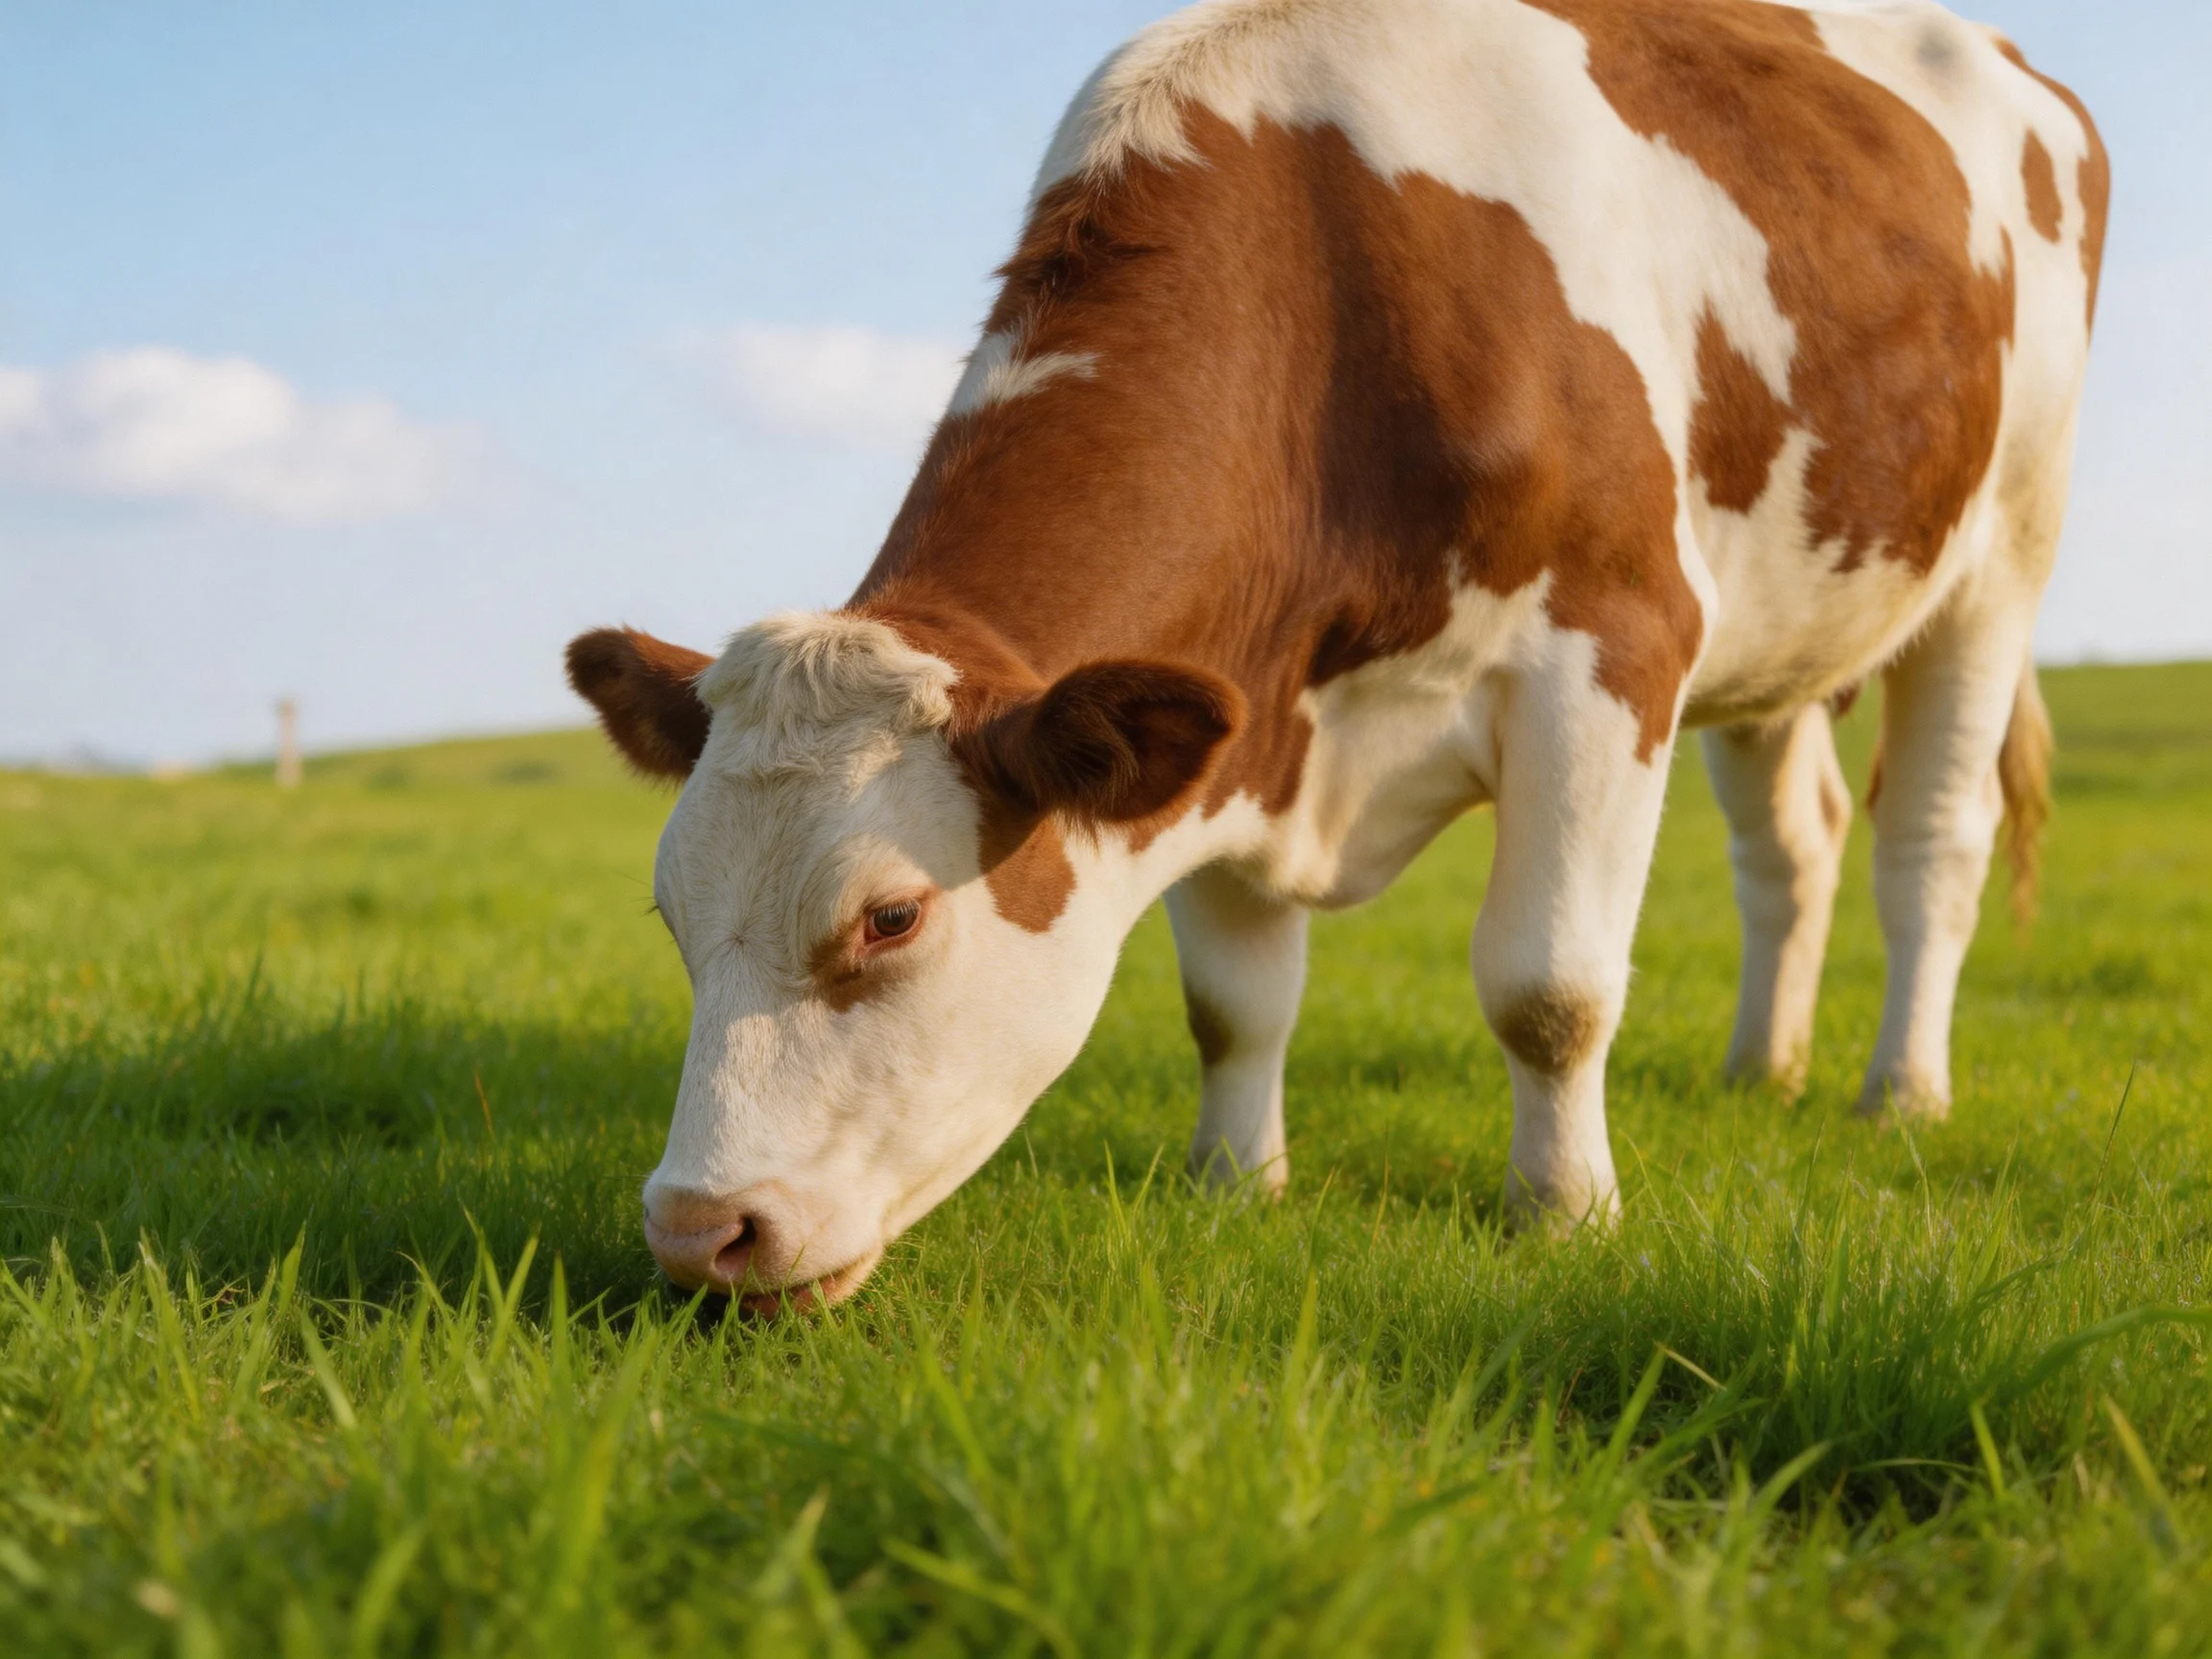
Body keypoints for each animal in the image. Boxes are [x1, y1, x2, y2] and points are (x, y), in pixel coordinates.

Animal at [567, 0, 2106, 1310]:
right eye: (669, 913)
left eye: (889, 919)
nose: (698, 1230)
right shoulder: (1228, 717)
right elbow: (1232, 1004)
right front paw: (1234, 1185)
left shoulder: (1616, 640)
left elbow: (1550, 987)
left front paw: (1564, 1214)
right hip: (1790, 614)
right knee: (1794, 843)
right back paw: (1758, 1073)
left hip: (2003, 554)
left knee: (1931, 844)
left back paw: (1898, 1094)